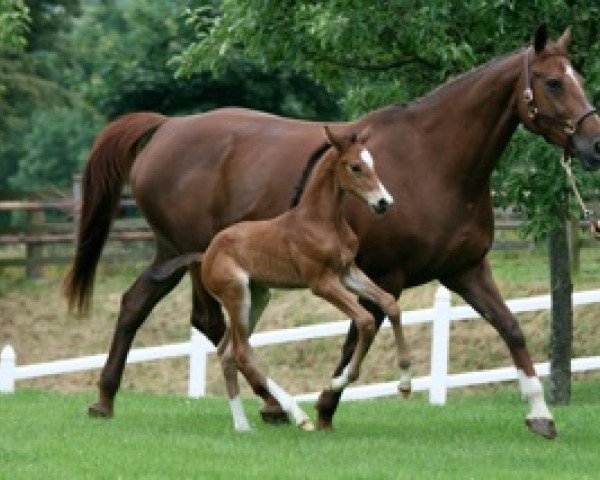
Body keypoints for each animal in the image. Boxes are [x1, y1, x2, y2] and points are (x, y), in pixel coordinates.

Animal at [154, 126, 412, 432]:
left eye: (373, 163)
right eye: (355, 167)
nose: (384, 203)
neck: (323, 221)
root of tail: (207, 253)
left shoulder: (347, 272)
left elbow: (390, 304)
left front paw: (405, 383)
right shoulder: (320, 282)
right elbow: (366, 320)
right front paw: (337, 382)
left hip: (258, 296)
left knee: (227, 352)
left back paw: (242, 425)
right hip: (237, 294)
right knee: (241, 352)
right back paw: (297, 415)